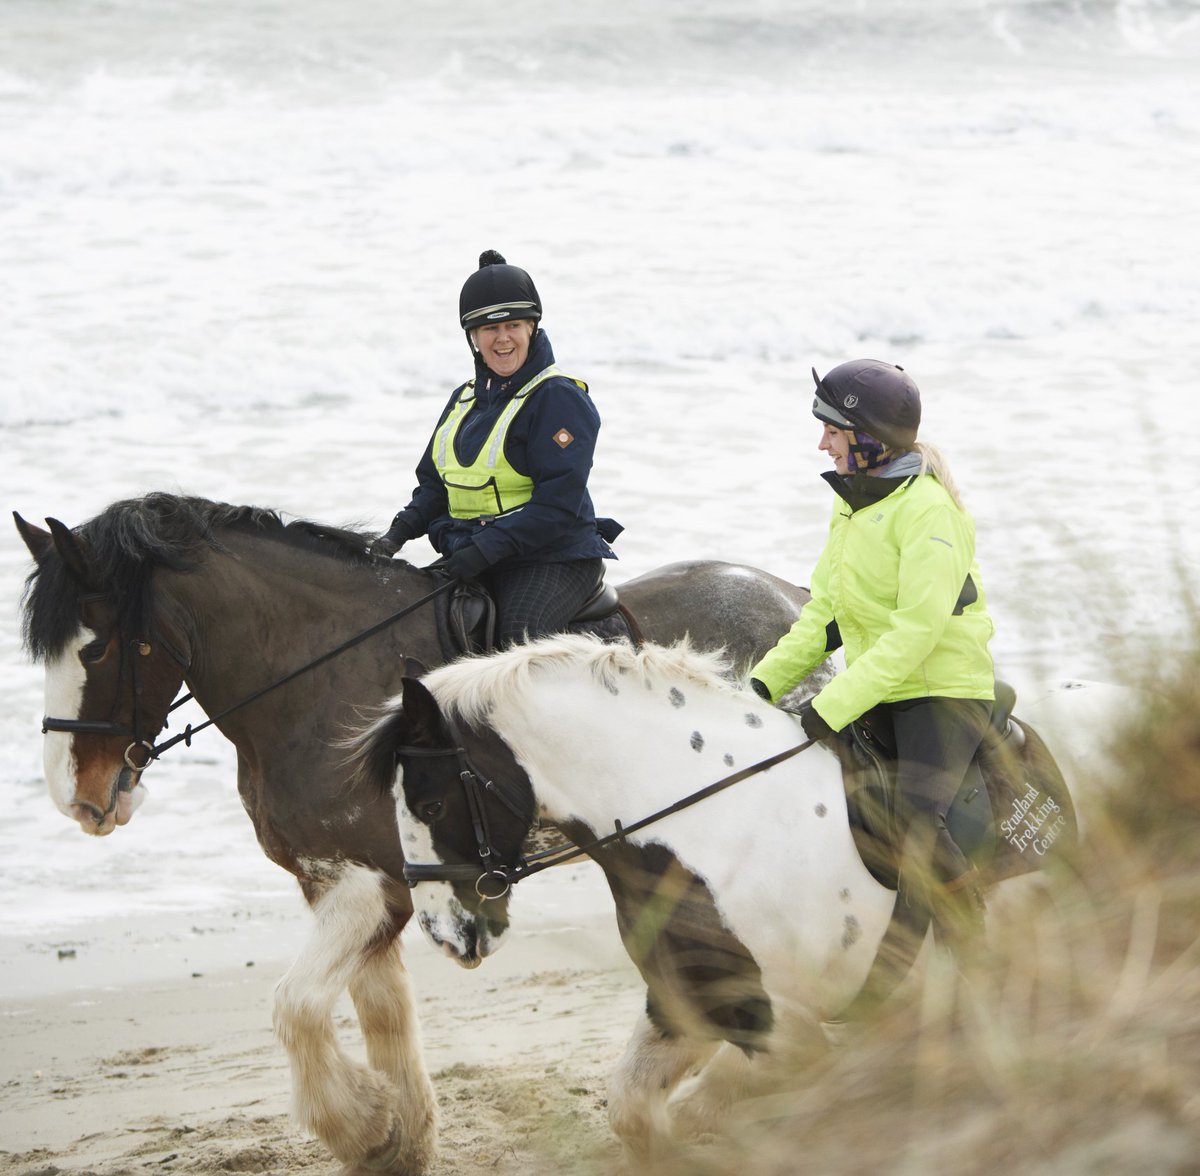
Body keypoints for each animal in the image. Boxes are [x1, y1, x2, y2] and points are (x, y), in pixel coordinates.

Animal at [14, 492, 811, 1176]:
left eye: (94, 651)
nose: (75, 797)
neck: (320, 682)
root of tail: (794, 596)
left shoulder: (375, 888)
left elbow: (296, 1007)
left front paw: (359, 1126)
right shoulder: (337, 881)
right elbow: (381, 1011)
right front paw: (399, 1138)